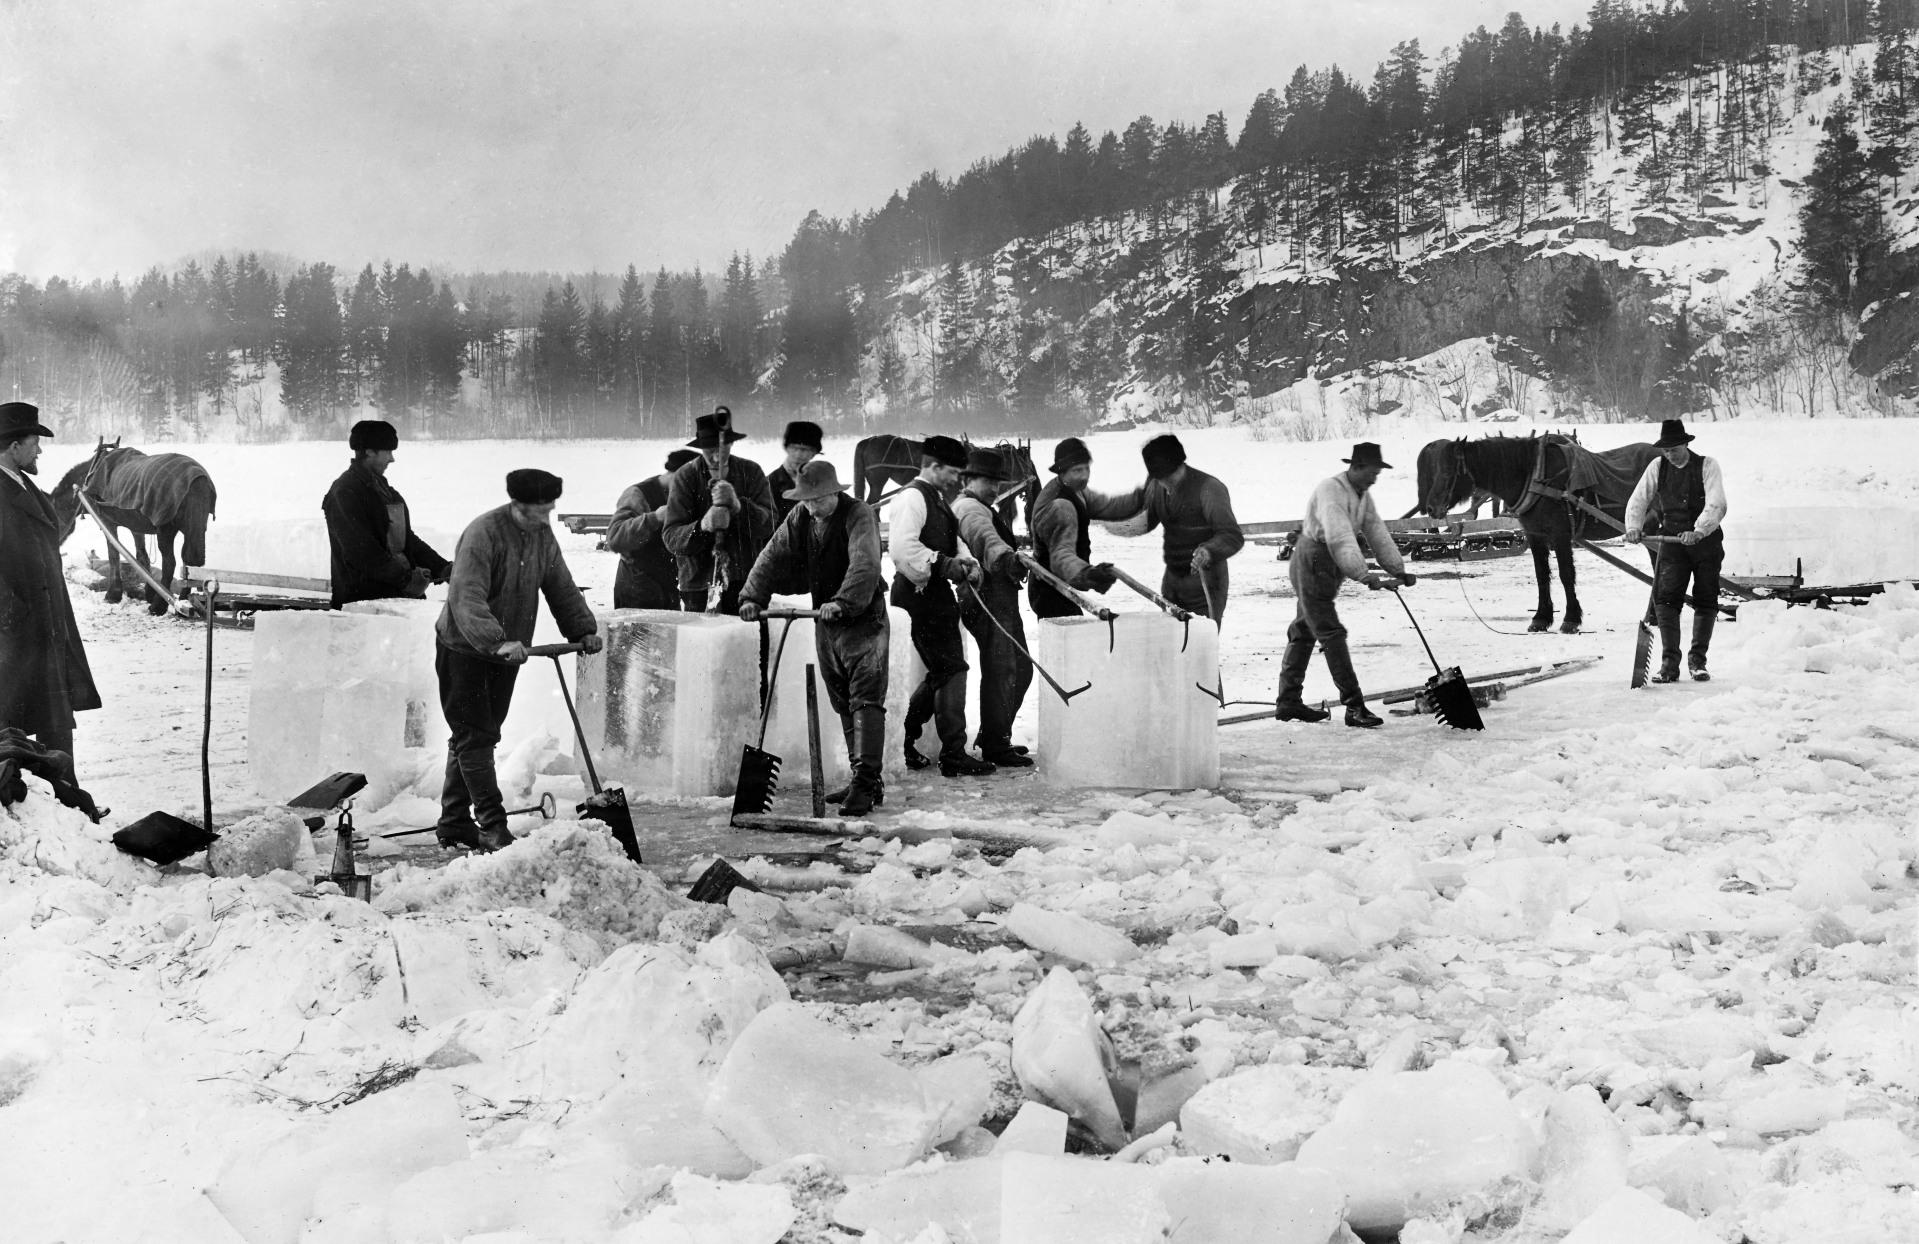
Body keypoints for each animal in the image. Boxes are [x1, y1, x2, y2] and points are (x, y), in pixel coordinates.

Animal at [54, 439, 217, 614]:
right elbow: (142, 557)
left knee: (170, 563)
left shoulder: (107, 520)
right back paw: (184, 599)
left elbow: (114, 555)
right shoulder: (136, 525)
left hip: (166, 528)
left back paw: (159, 605)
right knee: (188, 561)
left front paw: (113, 594)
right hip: (195, 527)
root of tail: (198, 480)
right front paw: (148, 592)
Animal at [1412, 435, 1665, 633]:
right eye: (1434, 470)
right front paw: (1541, 618)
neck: (1535, 476)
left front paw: (1571, 619)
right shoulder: (1535, 535)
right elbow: (1541, 575)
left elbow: (1566, 575)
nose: (1431, 508)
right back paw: (1653, 615)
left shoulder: (1561, 534)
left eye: (1448, 473)